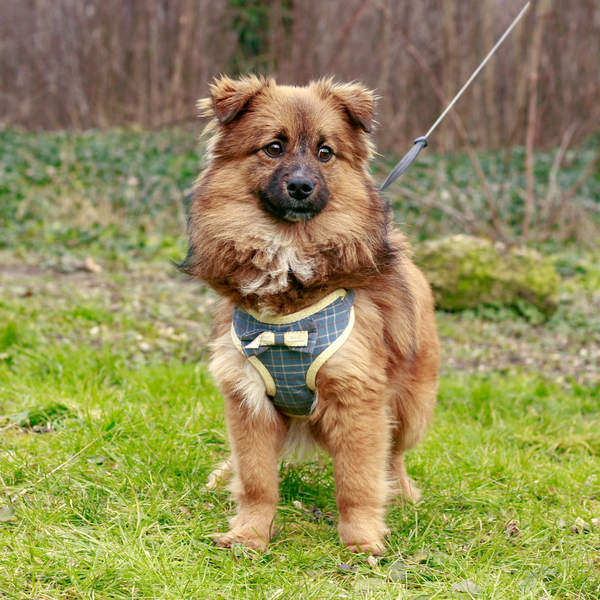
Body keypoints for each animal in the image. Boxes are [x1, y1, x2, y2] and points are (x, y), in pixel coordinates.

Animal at [180, 75, 439, 555]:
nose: (301, 186)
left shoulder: (357, 397)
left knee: (394, 453)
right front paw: (248, 535)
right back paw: (223, 473)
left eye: (325, 152)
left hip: (411, 405)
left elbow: (358, 482)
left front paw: (362, 541)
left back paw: (402, 492)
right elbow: (257, 480)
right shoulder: (247, 399)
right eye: (273, 148)